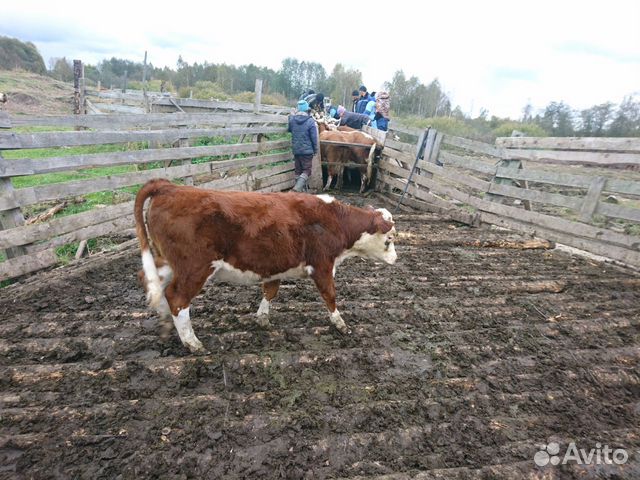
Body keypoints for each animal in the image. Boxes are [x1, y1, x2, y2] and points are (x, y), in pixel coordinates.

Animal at [134, 179, 396, 352]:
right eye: (390, 238)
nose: (396, 259)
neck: (335, 220)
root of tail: (169, 187)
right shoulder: (322, 265)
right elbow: (329, 295)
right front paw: (341, 325)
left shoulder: (275, 265)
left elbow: (270, 291)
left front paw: (262, 319)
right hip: (194, 268)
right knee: (177, 298)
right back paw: (192, 342)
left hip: (168, 262)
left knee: (151, 282)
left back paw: (165, 324)